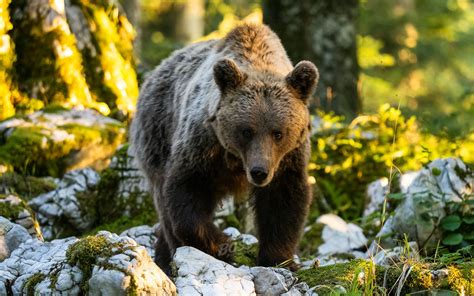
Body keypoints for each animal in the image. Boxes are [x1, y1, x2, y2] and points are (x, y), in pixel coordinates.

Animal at [131, 24, 318, 274]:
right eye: (246, 131)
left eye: (278, 133)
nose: (259, 172)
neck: (237, 160)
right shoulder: (203, 146)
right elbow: (186, 192)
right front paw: (223, 245)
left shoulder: (288, 159)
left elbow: (283, 201)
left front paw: (279, 259)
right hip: (157, 134)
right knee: (163, 201)